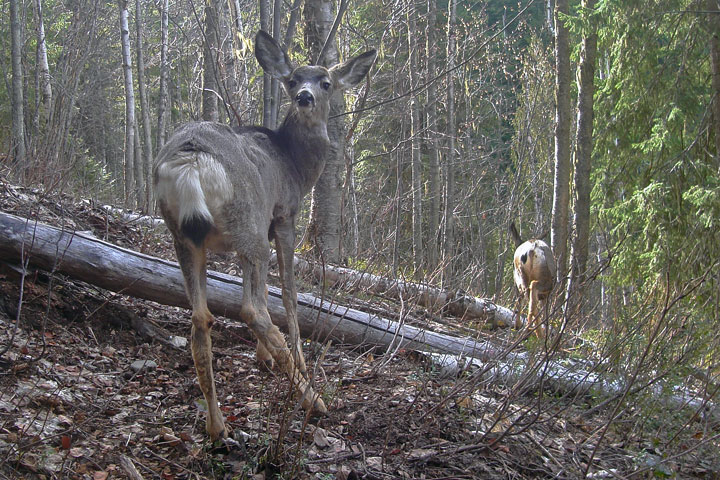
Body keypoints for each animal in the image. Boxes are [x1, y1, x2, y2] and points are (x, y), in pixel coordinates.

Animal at [153, 30, 376, 440]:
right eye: (293, 80)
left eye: (325, 82)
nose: (304, 96)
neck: (294, 165)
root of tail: (190, 160)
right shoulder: (283, 216)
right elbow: (288, 292)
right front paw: (294, 360)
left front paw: (264, 356)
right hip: (249, 225)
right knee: (252, 309)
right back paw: (312, 399)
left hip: (184, 235)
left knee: (200, 317)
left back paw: (217, 426)